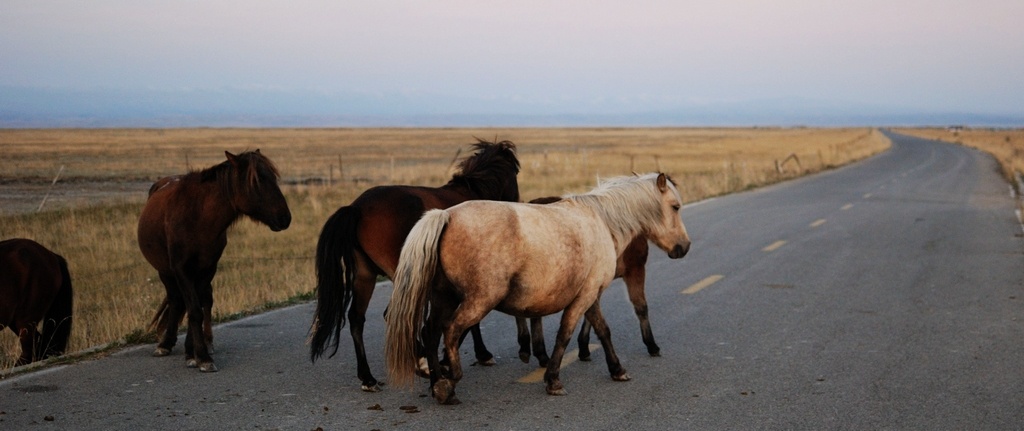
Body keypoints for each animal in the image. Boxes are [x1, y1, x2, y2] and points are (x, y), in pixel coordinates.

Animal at [137, 149, 292, 370]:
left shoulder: (207, 268)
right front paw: (201, 356)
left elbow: (199, 307)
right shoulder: (181, 269)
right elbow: (193, 309)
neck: (198, 217)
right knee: (176, 300)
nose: (285, 218)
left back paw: (203, 342)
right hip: (164, 271)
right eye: (256, 181)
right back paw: (165, 344)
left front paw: (194, 351)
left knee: (201, 299)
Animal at [307, 139, 520, 391]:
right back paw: (421, 362)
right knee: (396, 315)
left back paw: (368, 377)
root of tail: (357, 208)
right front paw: (460, 357)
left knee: (357, 319)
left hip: (365, 276)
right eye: (515, 172)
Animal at [512, 195, 655, 366]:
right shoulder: (635, 270)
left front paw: (584, 347)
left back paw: (535, 352)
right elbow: (641, 306)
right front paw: (652, 345)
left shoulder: (595, 282)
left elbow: (589, 313)